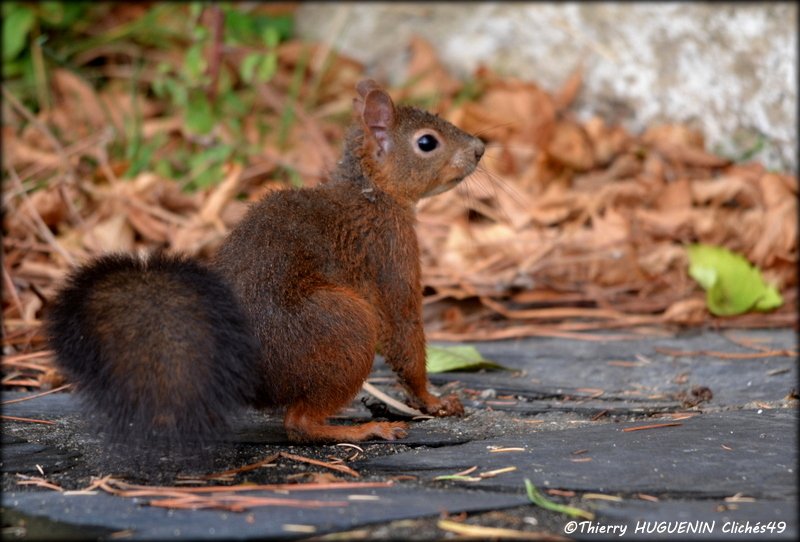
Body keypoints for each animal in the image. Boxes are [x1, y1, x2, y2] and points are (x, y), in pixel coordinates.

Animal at [46, 79, 484, 451]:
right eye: (427, 142)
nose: (480, 147)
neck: (370, 192)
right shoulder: (391, 250)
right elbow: (403, 327)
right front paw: (432, 400)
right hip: (345, 328)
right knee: (299, 424)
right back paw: (365, 429)